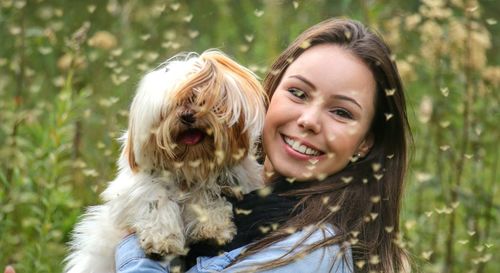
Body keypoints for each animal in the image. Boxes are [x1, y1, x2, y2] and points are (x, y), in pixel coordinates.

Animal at [66, 49, 268, 272]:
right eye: (172, 106)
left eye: (200, 100)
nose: (187, 116)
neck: (191, 166)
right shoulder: (139, 188)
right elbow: (156, 203)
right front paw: (162, 241)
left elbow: (208, 199)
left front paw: (213, 229)